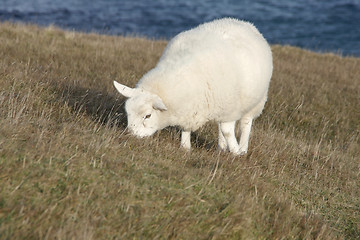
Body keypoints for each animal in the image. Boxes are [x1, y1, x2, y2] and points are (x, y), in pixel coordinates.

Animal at [114, 17, 272, 155]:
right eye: (128, 112)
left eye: (148, 116)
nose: (131, 136)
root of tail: (242, 22)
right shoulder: (190, 108)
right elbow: (187, 128)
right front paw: (185, 147)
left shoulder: (230, 107)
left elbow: (227, 131)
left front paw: (236, 152)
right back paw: (221, 149)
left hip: (256, 100)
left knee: (246, 123)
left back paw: (243, 149)